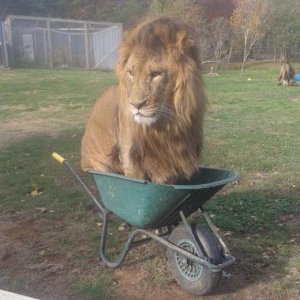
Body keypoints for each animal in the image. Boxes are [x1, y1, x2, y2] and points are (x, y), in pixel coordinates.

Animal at [81, 18, 207, 185]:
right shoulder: (131, 158)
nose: (136, 105)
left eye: (156, 74)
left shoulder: (171, 163)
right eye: (131, 73)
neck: (165, 127)